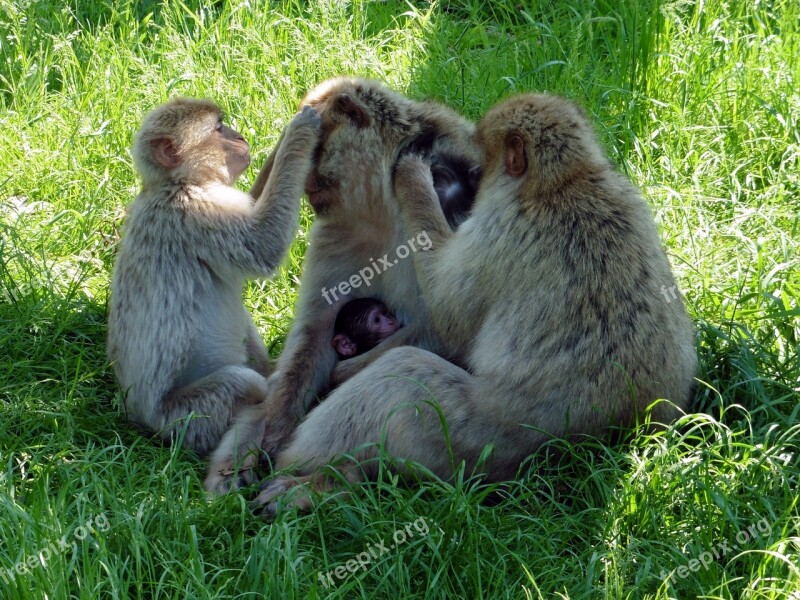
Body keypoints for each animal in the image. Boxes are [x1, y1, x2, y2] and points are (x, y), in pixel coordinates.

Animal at [108, 98, 320, 454]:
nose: (241, 136)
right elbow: (263, 245)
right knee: (240, 382)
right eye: (219, 128)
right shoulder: (197, 211)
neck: (177, 183)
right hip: (186, 419)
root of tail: (140, 421)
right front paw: (298, 133)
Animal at [206, 77, 482, 492]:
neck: (383, 206)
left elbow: (450, 330)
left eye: (317, 150)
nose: (305, 184)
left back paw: (325, 482)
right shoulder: (337, 234)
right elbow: (316, 334)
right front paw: (273, 427)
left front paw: (339, 376)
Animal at [248, 92, 692, 510]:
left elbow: (450, 320)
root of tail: (618, 437)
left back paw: (316, 476)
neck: (564, 183)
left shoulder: (492, 229)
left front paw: (410, 178)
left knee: (404, 376)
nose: (470, 178)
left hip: (486, 439)